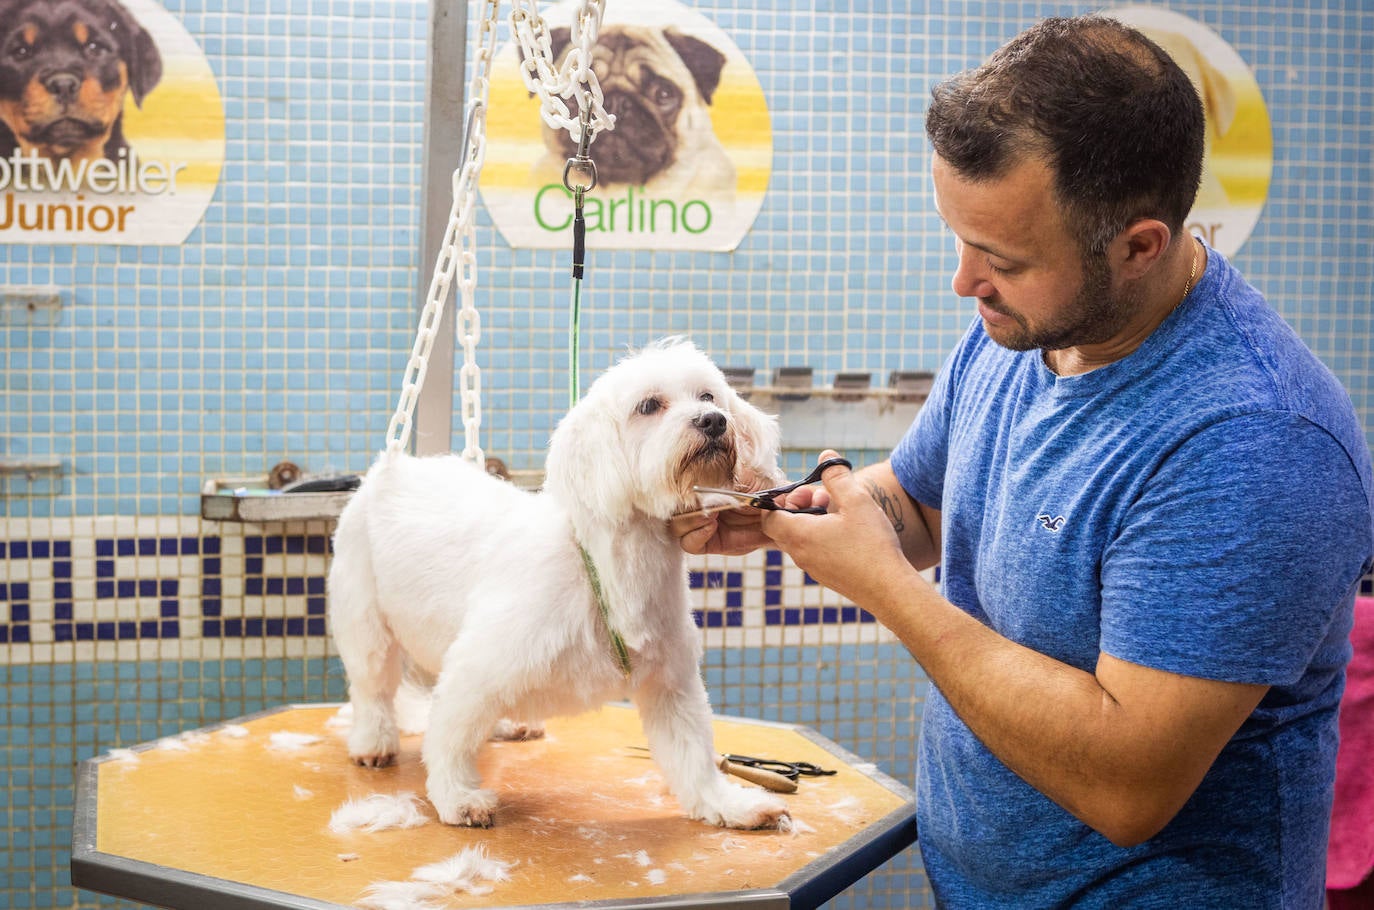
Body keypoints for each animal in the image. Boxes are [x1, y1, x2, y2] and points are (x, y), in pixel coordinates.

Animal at [325, 340, 791, 835]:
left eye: (708, 396)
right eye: (648, 406)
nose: (713, 421)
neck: (606, 568)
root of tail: (392, 468)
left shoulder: (672, 685)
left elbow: (695, 756)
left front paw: (730, 805)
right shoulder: (477, 664)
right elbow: (449, 737)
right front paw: (458, 797)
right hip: (366, 623)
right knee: (373, 689)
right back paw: (373, 741)